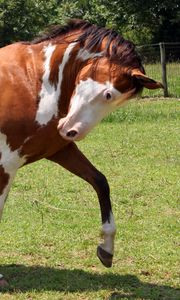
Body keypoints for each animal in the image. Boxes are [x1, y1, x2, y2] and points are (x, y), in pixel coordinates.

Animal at [0, 18, 162, 272]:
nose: (72, 131)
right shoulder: (6, 164)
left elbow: (100, 182)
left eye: (119, 102)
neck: (31, 80)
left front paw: (106, 248)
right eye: (108, 94)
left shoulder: (60, 150)